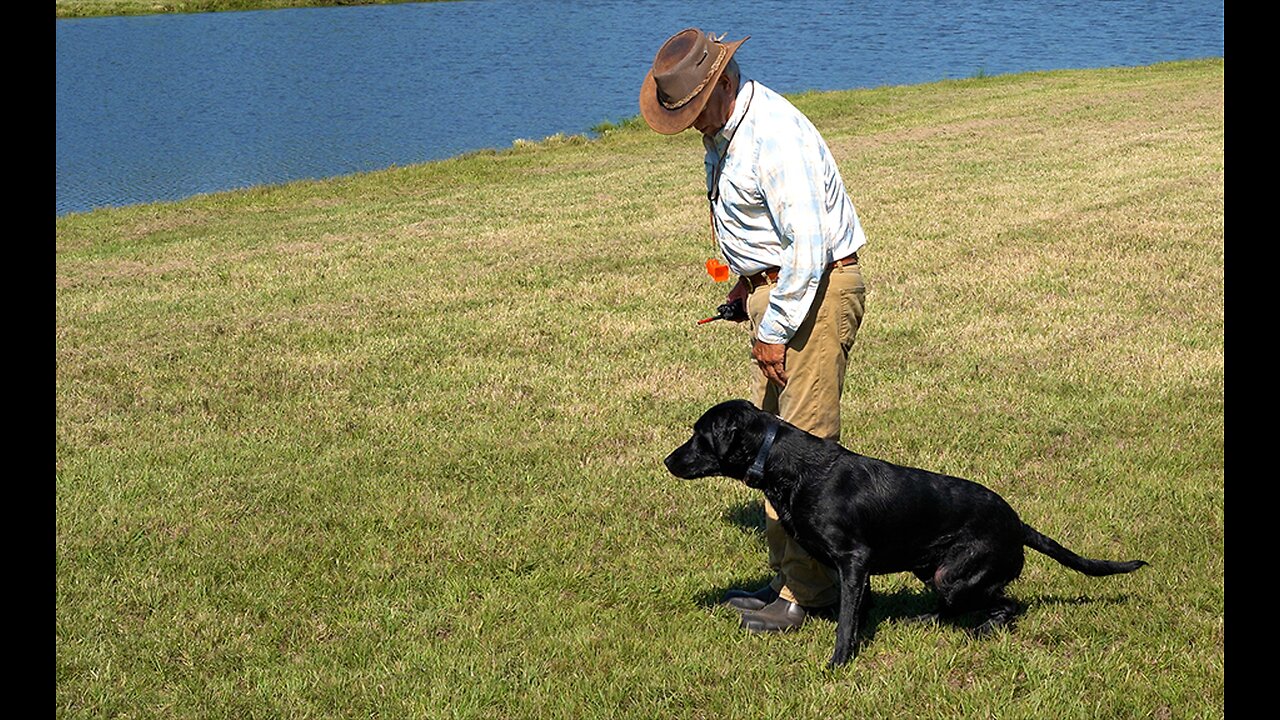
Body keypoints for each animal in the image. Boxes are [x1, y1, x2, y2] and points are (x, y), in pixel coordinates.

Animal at [665, 397, 1146, 661]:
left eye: (700, 435)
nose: (667, 460)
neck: (783, 462)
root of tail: (1018, 523)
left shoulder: (853, 559)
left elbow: (846, 620)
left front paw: (838, 661)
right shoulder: (856, 570)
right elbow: (857, 610)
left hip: (953, 575)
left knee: (1007, 606)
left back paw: (980, 629)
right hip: (929, 569)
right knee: (957, 608)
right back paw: (923, 620)